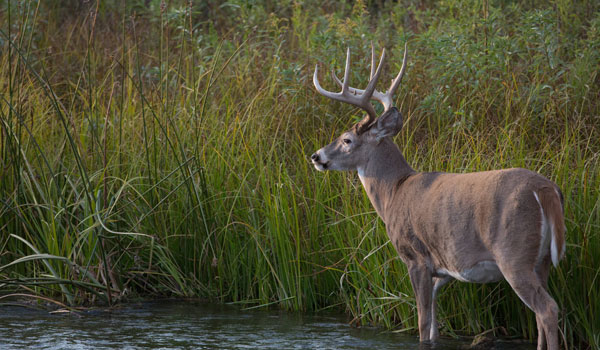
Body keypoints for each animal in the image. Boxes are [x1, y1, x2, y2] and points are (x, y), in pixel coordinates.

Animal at [312, 44, 564, 350]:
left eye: (347, 139)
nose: (316, 156)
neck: (394, 191)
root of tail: (546, 190)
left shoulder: (416, 257)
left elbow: (422, 324)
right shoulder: (443, 270)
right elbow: (434, 325)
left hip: (514, 254)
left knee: (547, 309)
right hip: (542, 261)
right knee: (541, 314)